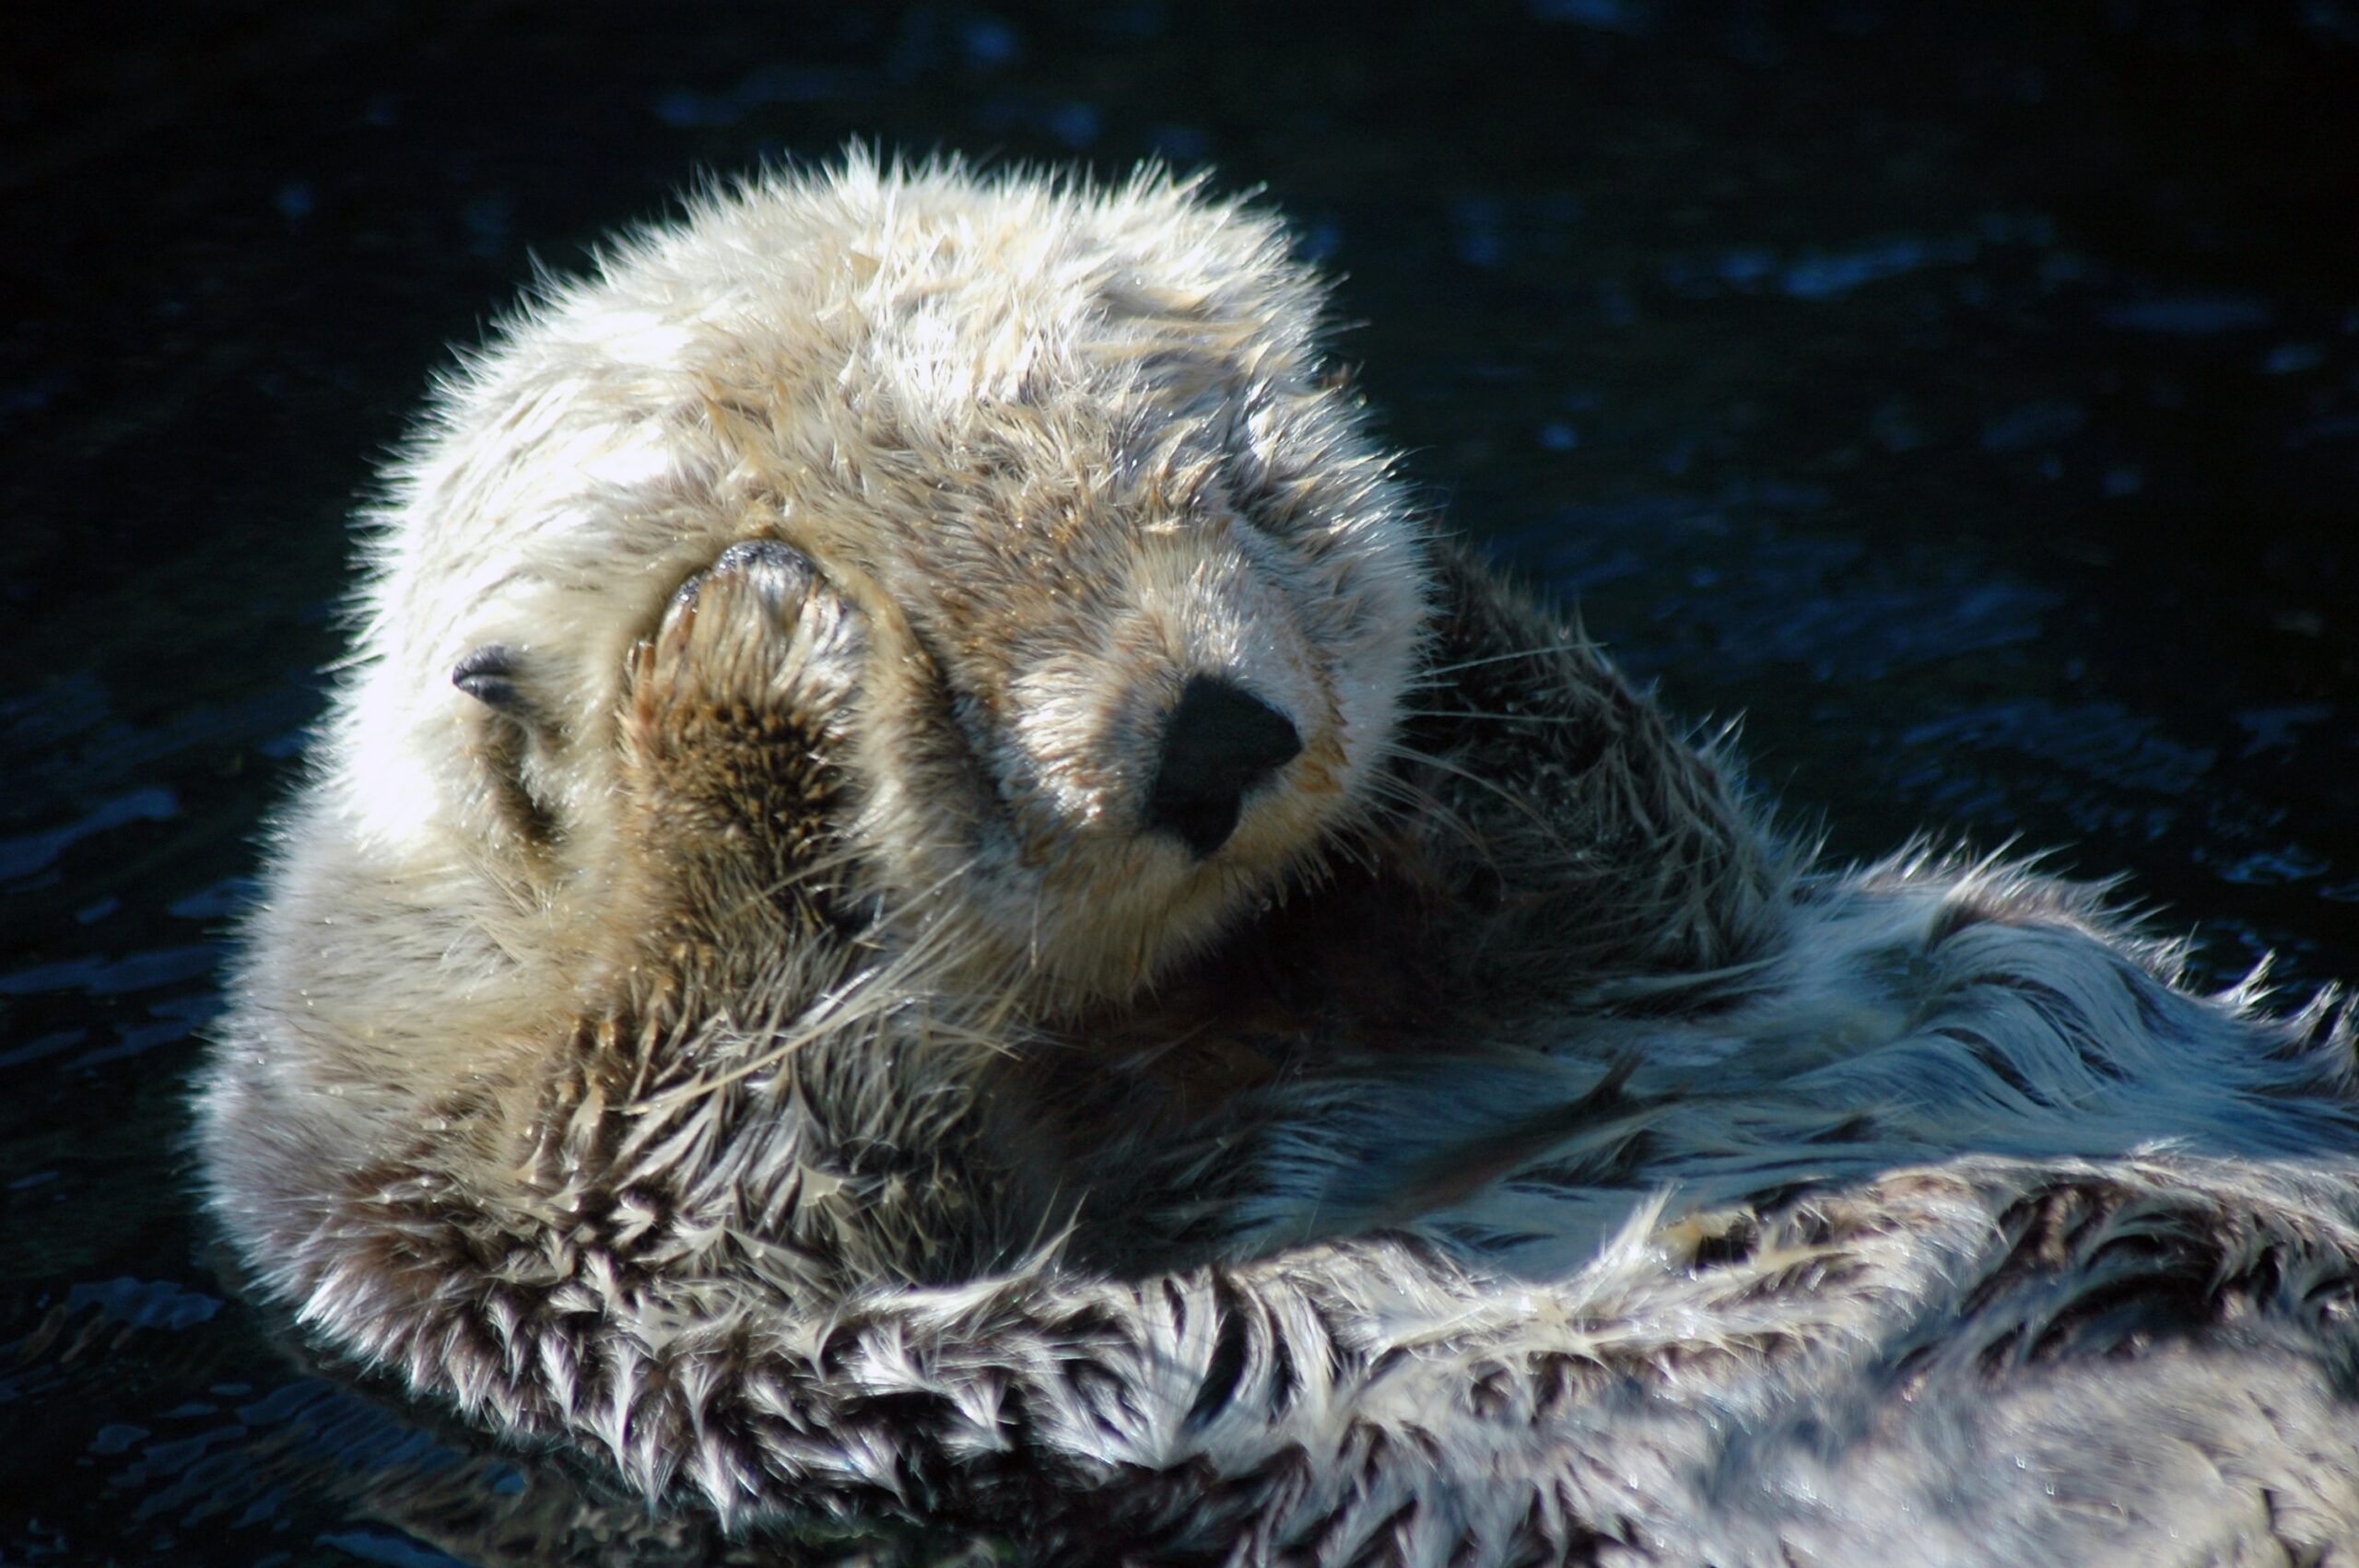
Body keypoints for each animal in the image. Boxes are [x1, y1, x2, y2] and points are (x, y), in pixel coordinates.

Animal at [203, 161, 2359, 1565]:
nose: (1215, 726)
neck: (1193, 1027)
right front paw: (753, 659)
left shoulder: (1651, 953)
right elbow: (713, 1126)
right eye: (943, 659)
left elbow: (1623, 843)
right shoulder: (540, 1243)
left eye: (1232, 487)